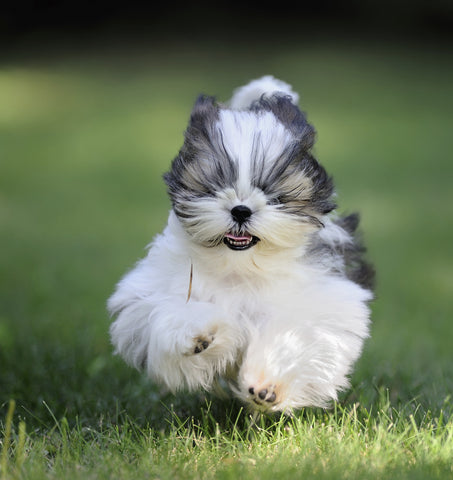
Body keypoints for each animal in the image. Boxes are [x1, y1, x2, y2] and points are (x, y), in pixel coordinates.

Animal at [107, 75, 372, 412]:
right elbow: (170, 311)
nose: (241, 210)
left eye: (273, 195)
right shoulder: (148, 296)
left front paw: (267, 386)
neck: (240, 267)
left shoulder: (323, 299)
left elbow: (295, 334)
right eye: (214, 187)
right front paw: (200, 335)